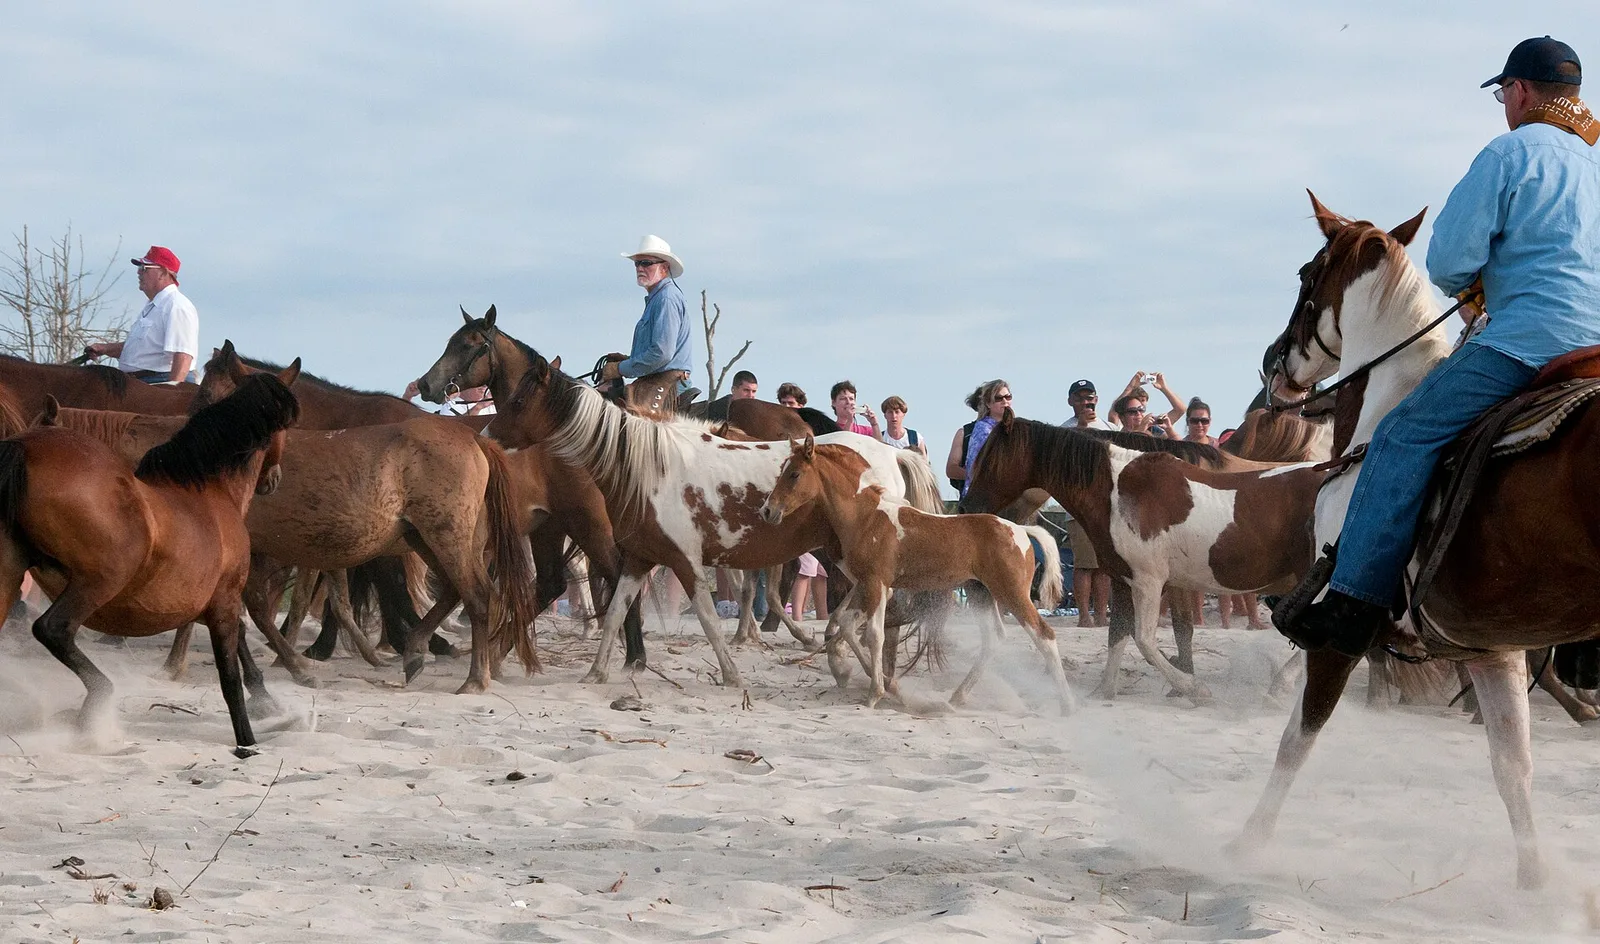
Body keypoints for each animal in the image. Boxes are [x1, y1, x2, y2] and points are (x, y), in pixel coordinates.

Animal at [0, 367, 300, 757]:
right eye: (286, 429)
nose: (273, 480)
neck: (212, 492)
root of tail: (24, 447)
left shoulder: (209, 604)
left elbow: (241, 645)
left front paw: (268, 705)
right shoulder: (225, 600)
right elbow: (230, 677)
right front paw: (247, 742)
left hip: (9, 576)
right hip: (99, 582)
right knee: (53, 629)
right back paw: (97, 710)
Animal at [485, 353, 944, 687]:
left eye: (519, 402)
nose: (486, 436)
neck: (649, 466)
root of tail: (891, 455)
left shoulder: (686, 561)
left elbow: (707, 616)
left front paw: (731, 673)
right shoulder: (639, 558)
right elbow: (616, 611)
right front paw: (597, 672)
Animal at [759, 435, 1075, 712]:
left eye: (794, 474)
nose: (766, 511)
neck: (867, 516)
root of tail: (1021, 530)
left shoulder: (876, 583)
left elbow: (874, 634)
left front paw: (875, 694)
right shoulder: (867, 584)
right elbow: (847, 624)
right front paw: (868, 679)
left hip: (1012, 592)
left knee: (1044, 636)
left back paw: (1066, 705)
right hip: (981, 593)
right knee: (994, 639)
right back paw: (957, 697)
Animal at [1237, 192, 1600, 888]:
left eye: (1305, 274)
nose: (1272, 364)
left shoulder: (1339, 622)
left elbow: (1299, 737)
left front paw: (1245, 844)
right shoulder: (1490, 647)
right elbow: (1513, 769)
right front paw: (1536, 885)